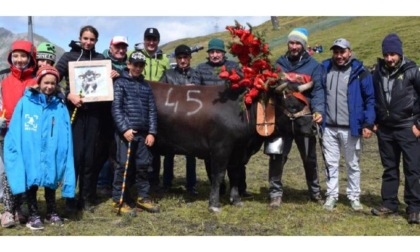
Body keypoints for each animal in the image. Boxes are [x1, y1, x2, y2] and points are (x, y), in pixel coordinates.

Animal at [149, 81, 266, 212]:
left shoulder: (238, 150)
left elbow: (235, 173)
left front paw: (236, 200)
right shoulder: (221, 148)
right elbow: (218, 175)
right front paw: (214, 204)